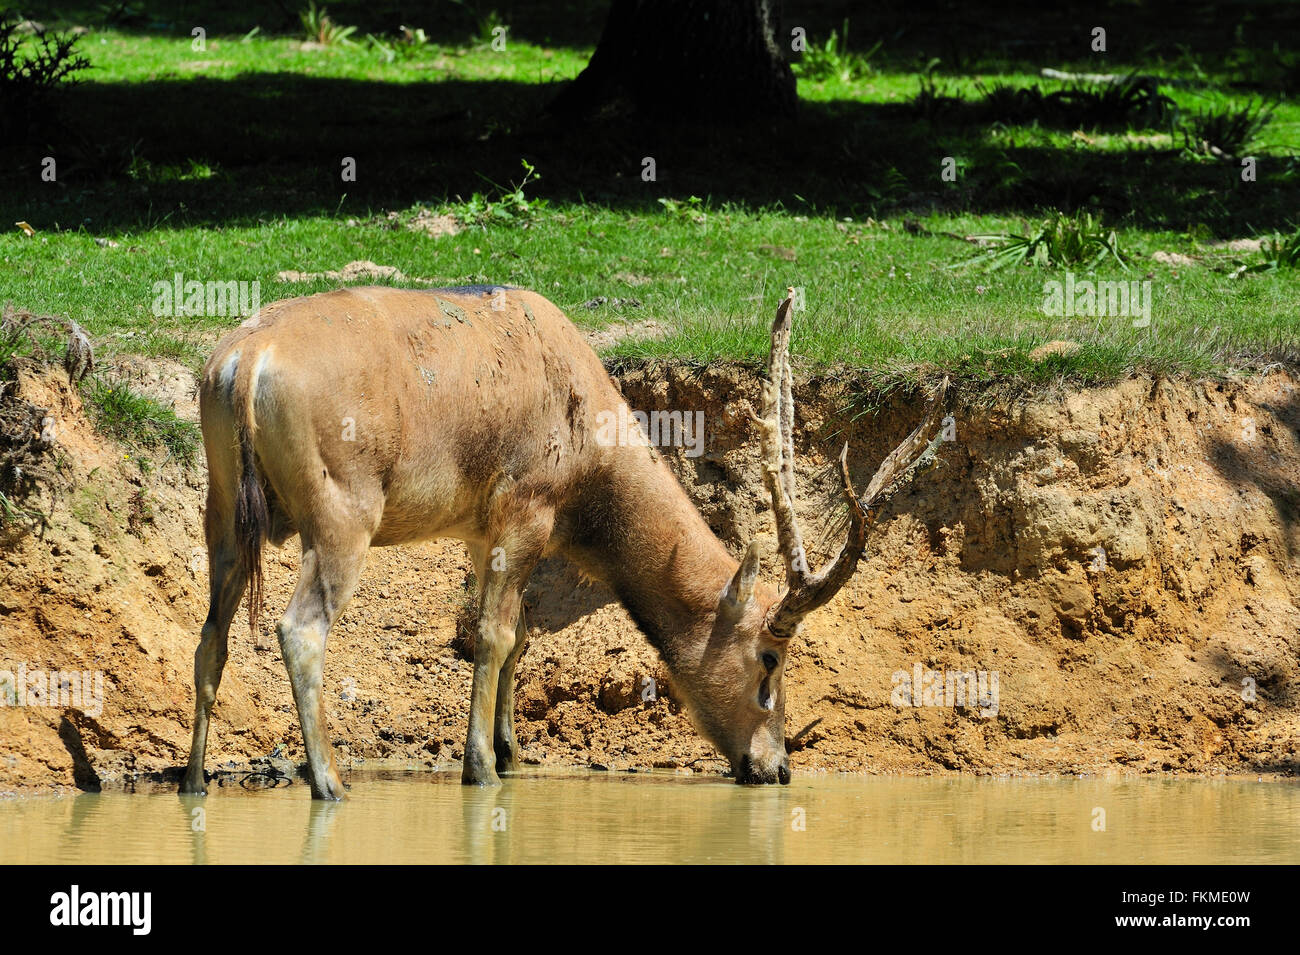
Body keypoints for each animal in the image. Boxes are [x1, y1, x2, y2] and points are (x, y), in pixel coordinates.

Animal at [180, 283, 946, 800]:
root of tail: (244, 361)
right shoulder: (526, 504)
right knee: (300, 626)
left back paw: (193, 778)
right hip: (342, 509)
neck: (590, 462)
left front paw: (511, 749)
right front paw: (480, 767)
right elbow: (493, 634)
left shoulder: (480, 524)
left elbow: (515, 632)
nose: (776, 766)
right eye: (768, 661)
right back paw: (331, 780)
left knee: (210, 634)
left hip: (221, 506)